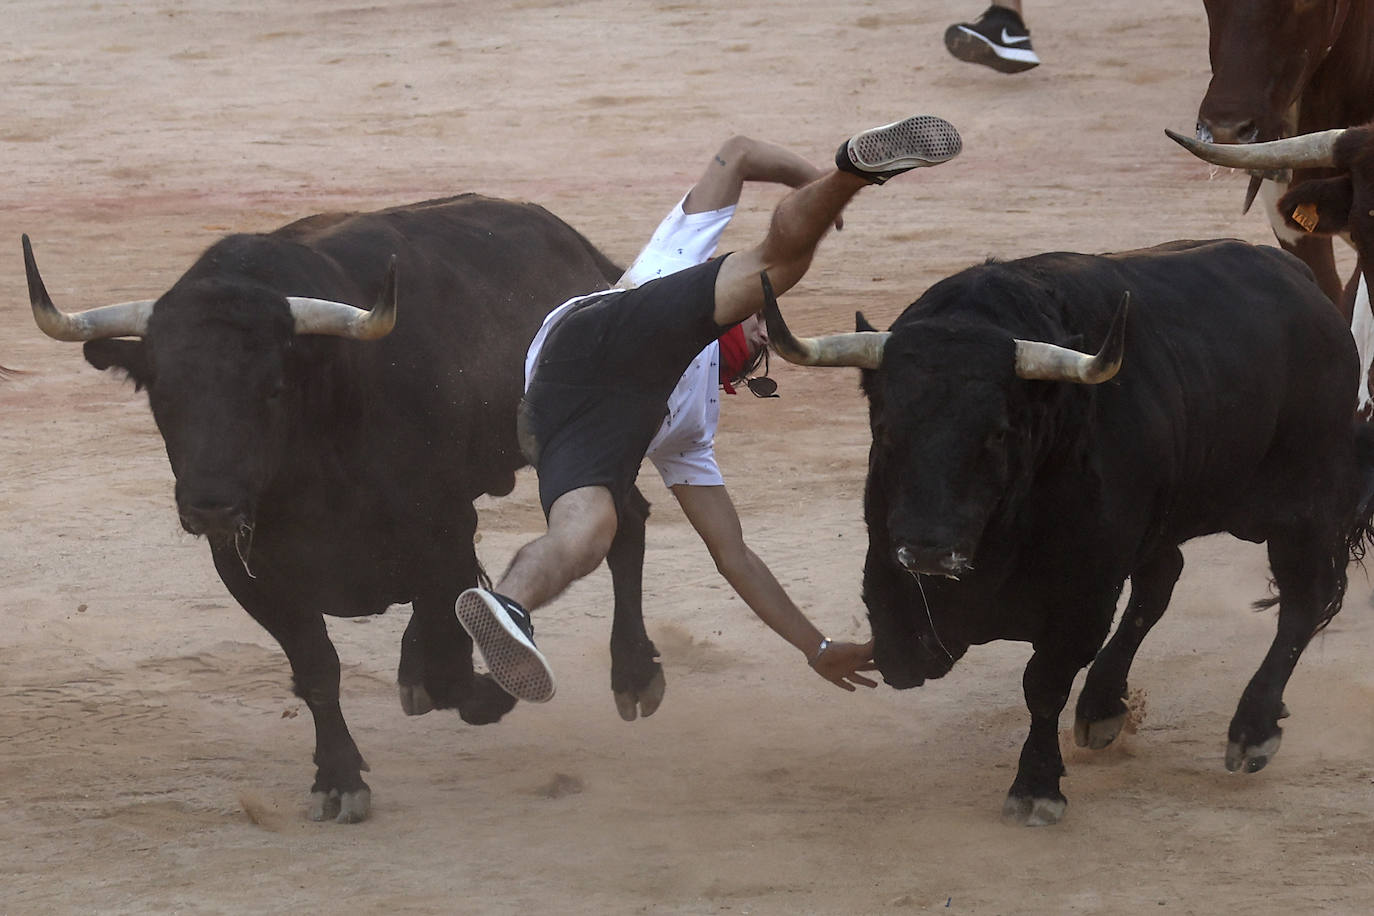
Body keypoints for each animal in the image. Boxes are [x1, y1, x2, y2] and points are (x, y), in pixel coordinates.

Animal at [21, 193, 665, 823]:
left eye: (273, 388)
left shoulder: (444, 533)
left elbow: (453, 667)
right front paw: (338, 778)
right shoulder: (247, 569)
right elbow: (318, 669)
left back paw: (635, 675)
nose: (211, 506)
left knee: (624, 525)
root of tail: (585, 257)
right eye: (163, 393)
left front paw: (493, 689)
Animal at [763, 240, 1374, 829]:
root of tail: (1303, 283)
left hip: (1305, 501)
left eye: (998, 432)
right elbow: (906, 650)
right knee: (1162, 581)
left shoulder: (1085, 594)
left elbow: (1044, 683)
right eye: (886, 428)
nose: (929, 551)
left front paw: (1036, 787)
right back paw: (1102, 707)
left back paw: (1252, 729)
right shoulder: (890, 570)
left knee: (1303, 600)